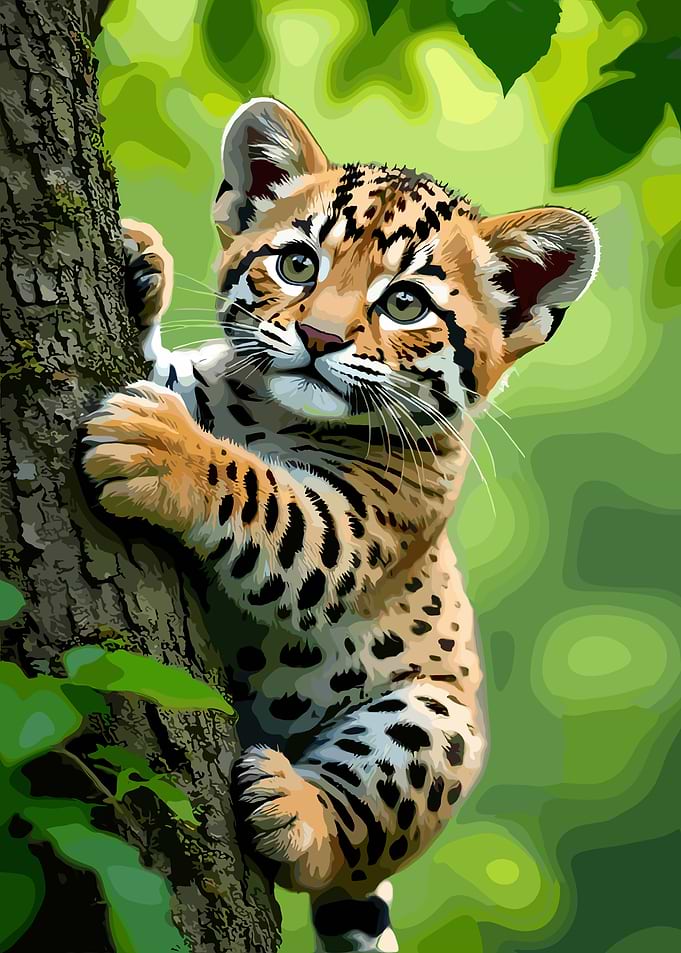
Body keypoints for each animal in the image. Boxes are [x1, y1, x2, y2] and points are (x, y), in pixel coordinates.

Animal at [80, 98, 599, 952]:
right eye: (296, 264)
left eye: (405, 303)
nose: (319, 338)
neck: (264, 412)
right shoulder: (200, 383)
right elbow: (170, 375)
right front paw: (137, 259)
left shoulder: (347, 533)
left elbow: (261, 492)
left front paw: (161, 448)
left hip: (434, 724)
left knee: (338, 847)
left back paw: (294, 808)